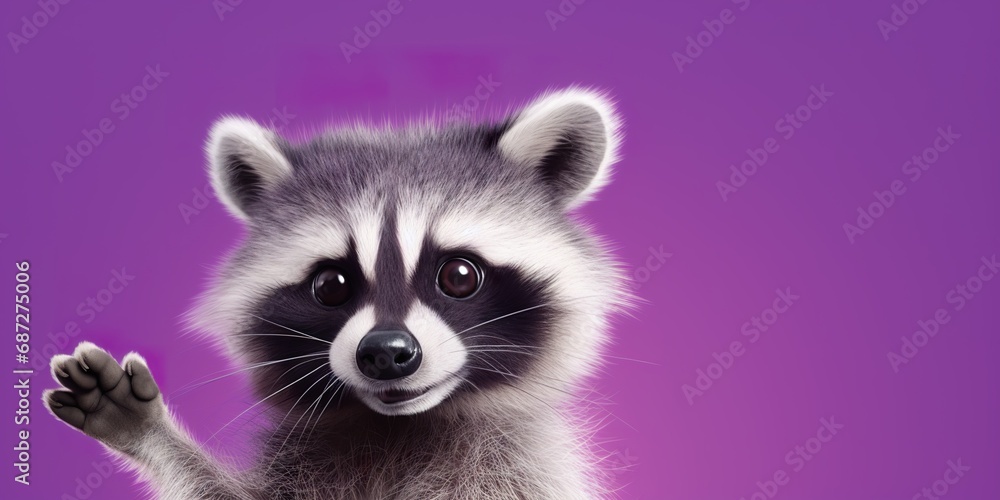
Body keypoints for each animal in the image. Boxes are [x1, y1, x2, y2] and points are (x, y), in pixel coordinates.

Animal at [44, 87, 629, 499]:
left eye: (459, 276)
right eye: (331, 285)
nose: (387, 354)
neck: (400, 428)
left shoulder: (521, 468)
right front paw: (156, 438)